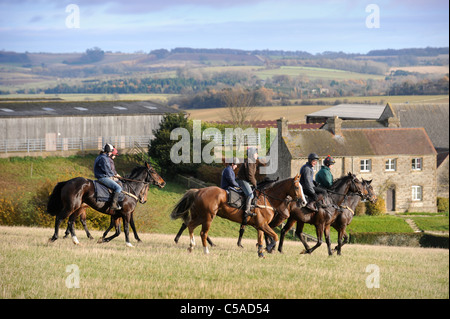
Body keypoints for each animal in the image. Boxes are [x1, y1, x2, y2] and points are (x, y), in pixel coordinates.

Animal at [170, 174, 306, 258]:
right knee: (202, 233)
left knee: (190, 226)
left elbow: (261, 239)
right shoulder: (263, 225)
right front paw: (268, 249)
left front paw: (261, 253)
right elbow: (275, 237)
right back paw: (206, 250)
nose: (303, 202)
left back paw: (191, 246)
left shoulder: (260, 226)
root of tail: (199, 191)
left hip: (200, 216)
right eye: (297, 187)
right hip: (208, 217)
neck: (266, 198)